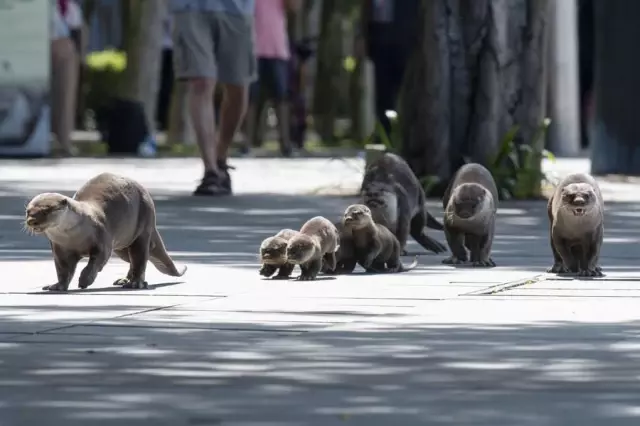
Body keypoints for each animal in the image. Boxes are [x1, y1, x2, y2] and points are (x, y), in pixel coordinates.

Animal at [23, 172, 188, 290]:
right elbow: (63, 269)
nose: (31, 221)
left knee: (140, 258)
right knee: (133, 260)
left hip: (143, 226)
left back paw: (135, 284)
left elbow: (97, 261)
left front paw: (85, 280)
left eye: (46, 210)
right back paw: (124, 280)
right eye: (28, 211)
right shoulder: (59, 248)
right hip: (121, 248)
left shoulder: (102, 237)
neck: (73, 236)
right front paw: (57, 286)